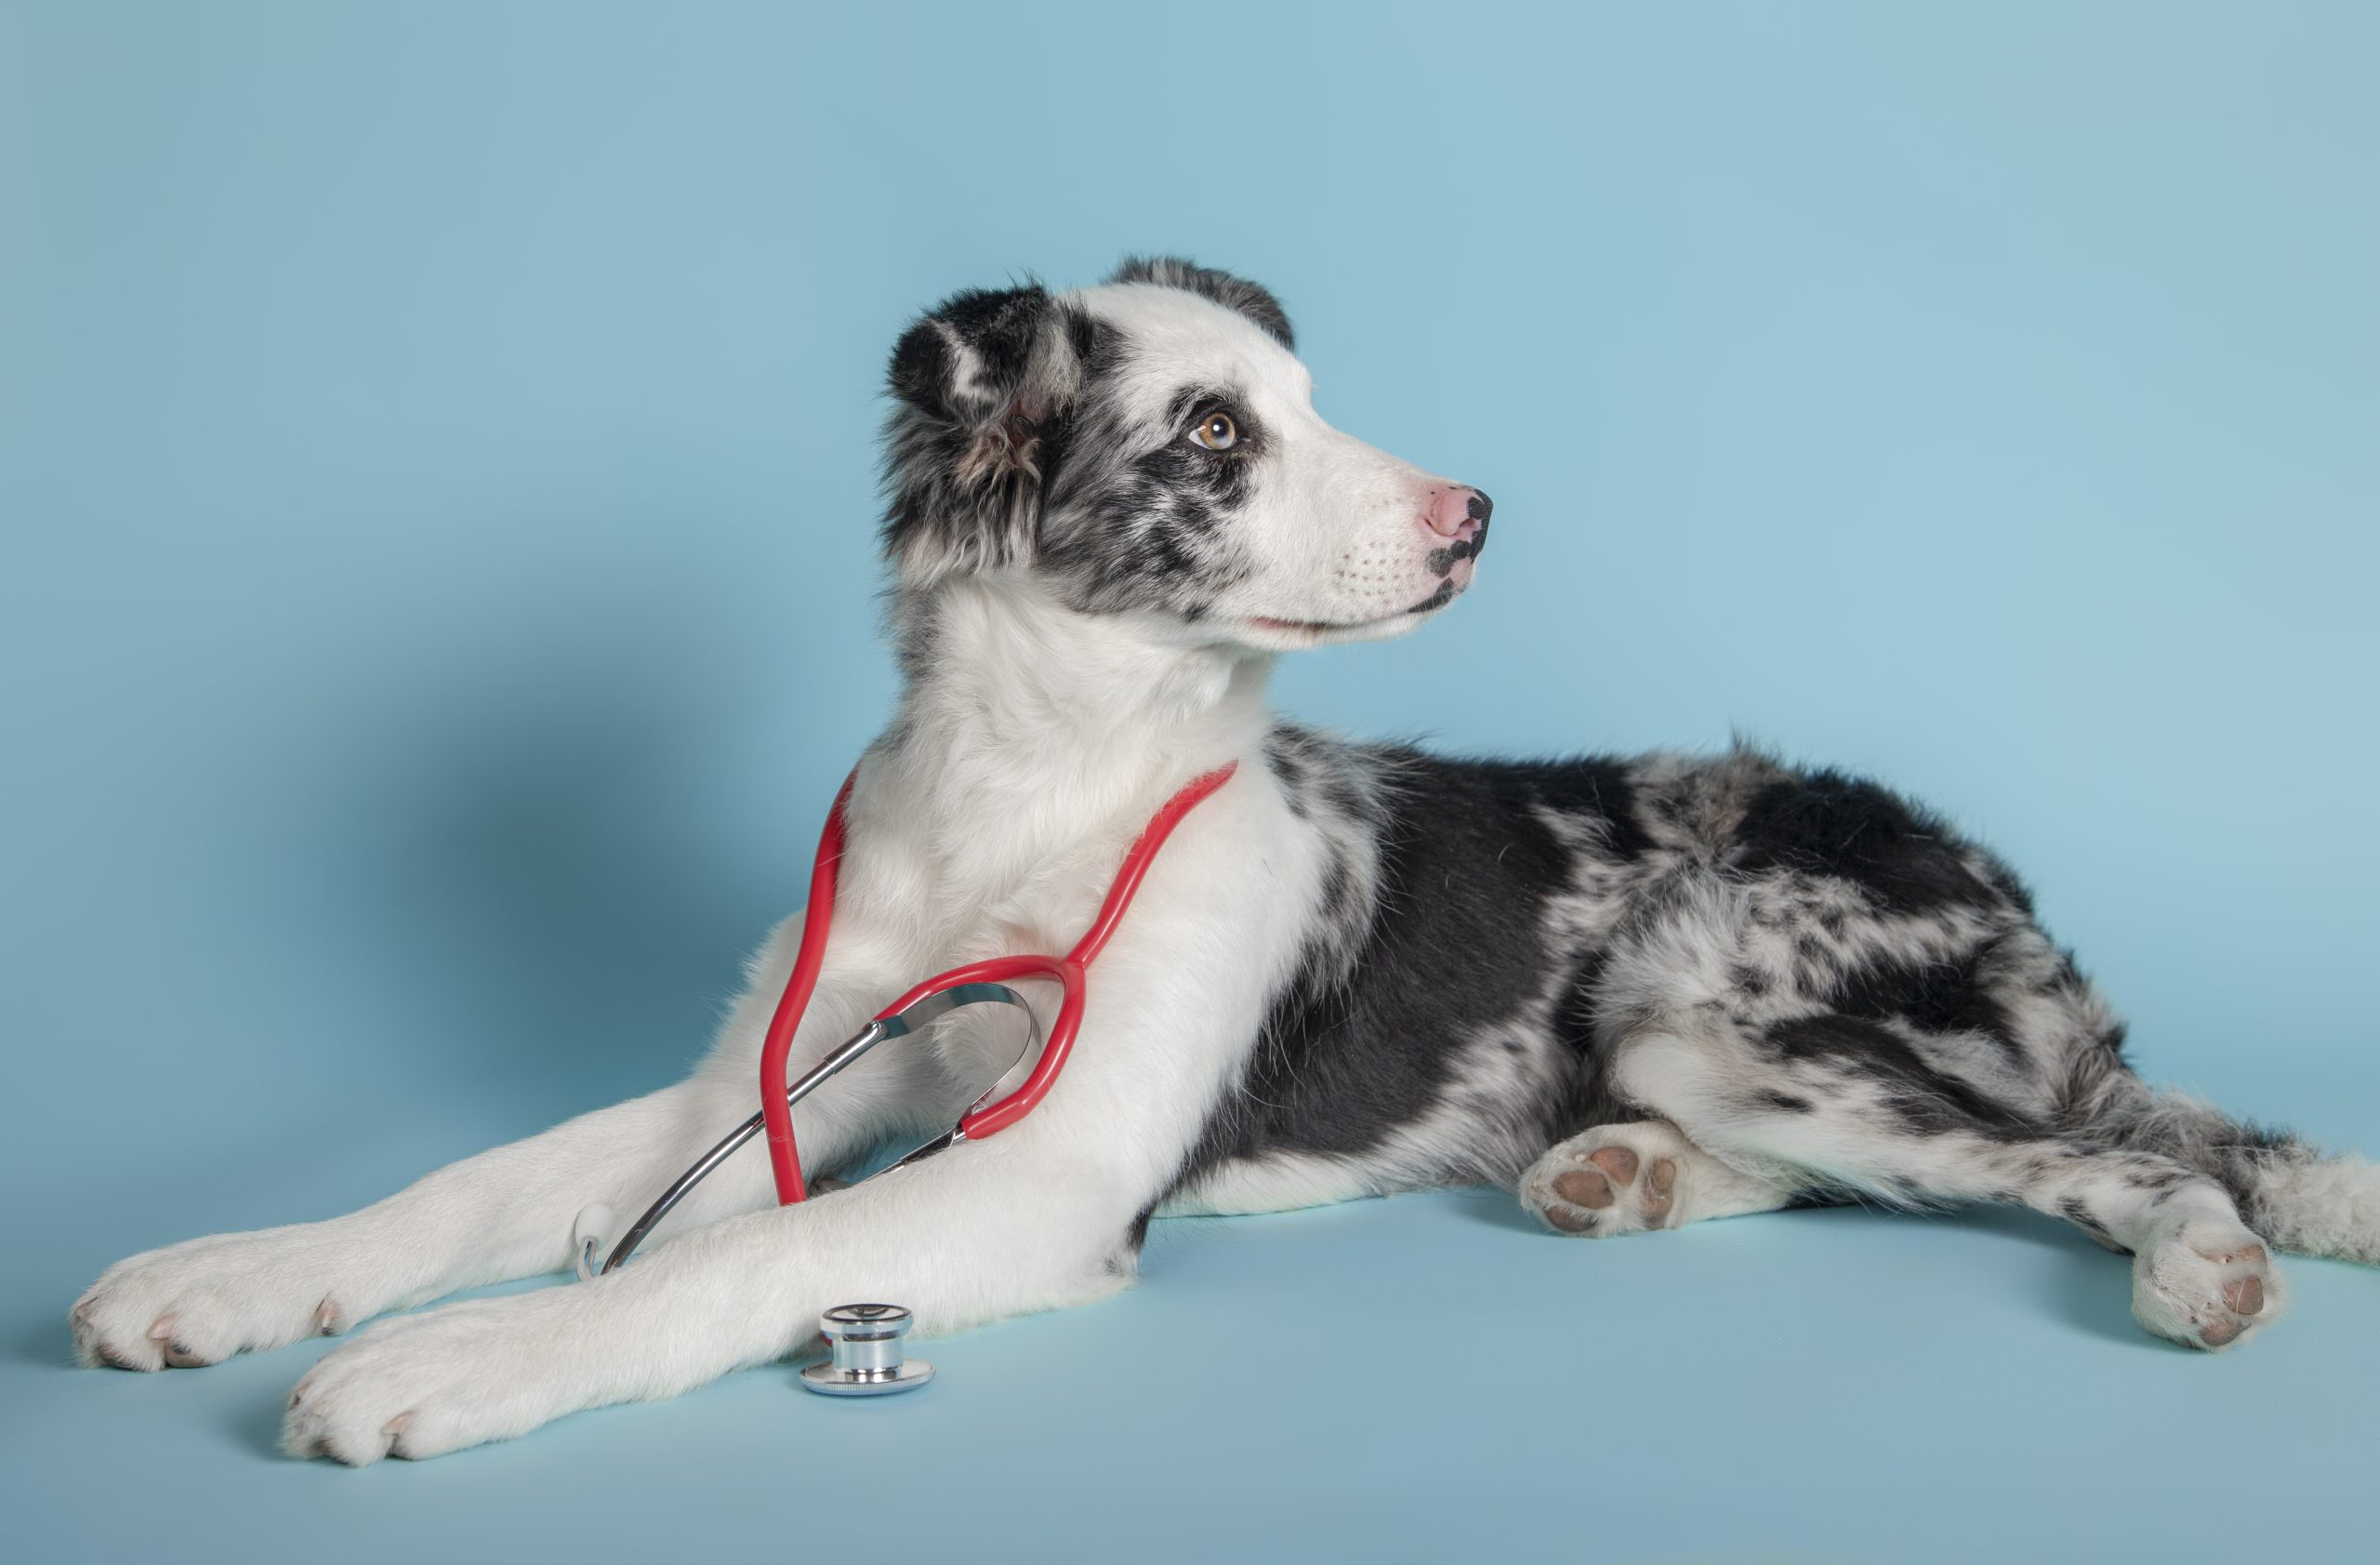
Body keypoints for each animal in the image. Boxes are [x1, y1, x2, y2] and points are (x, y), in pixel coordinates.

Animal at [74, 259, 2380, 1466]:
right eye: (1210, 436)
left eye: (1305, 400)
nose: (1471, 512)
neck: (1031, 783)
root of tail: (2010, 901)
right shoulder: (788, 1067)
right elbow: (483, 1178)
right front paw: (233, 1271)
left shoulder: (1046, 1161)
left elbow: (710, 1263)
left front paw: (456, 1358)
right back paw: (1611, 1173)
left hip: (1718, 995)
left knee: (2114, 1157)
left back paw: (2196, 1258)